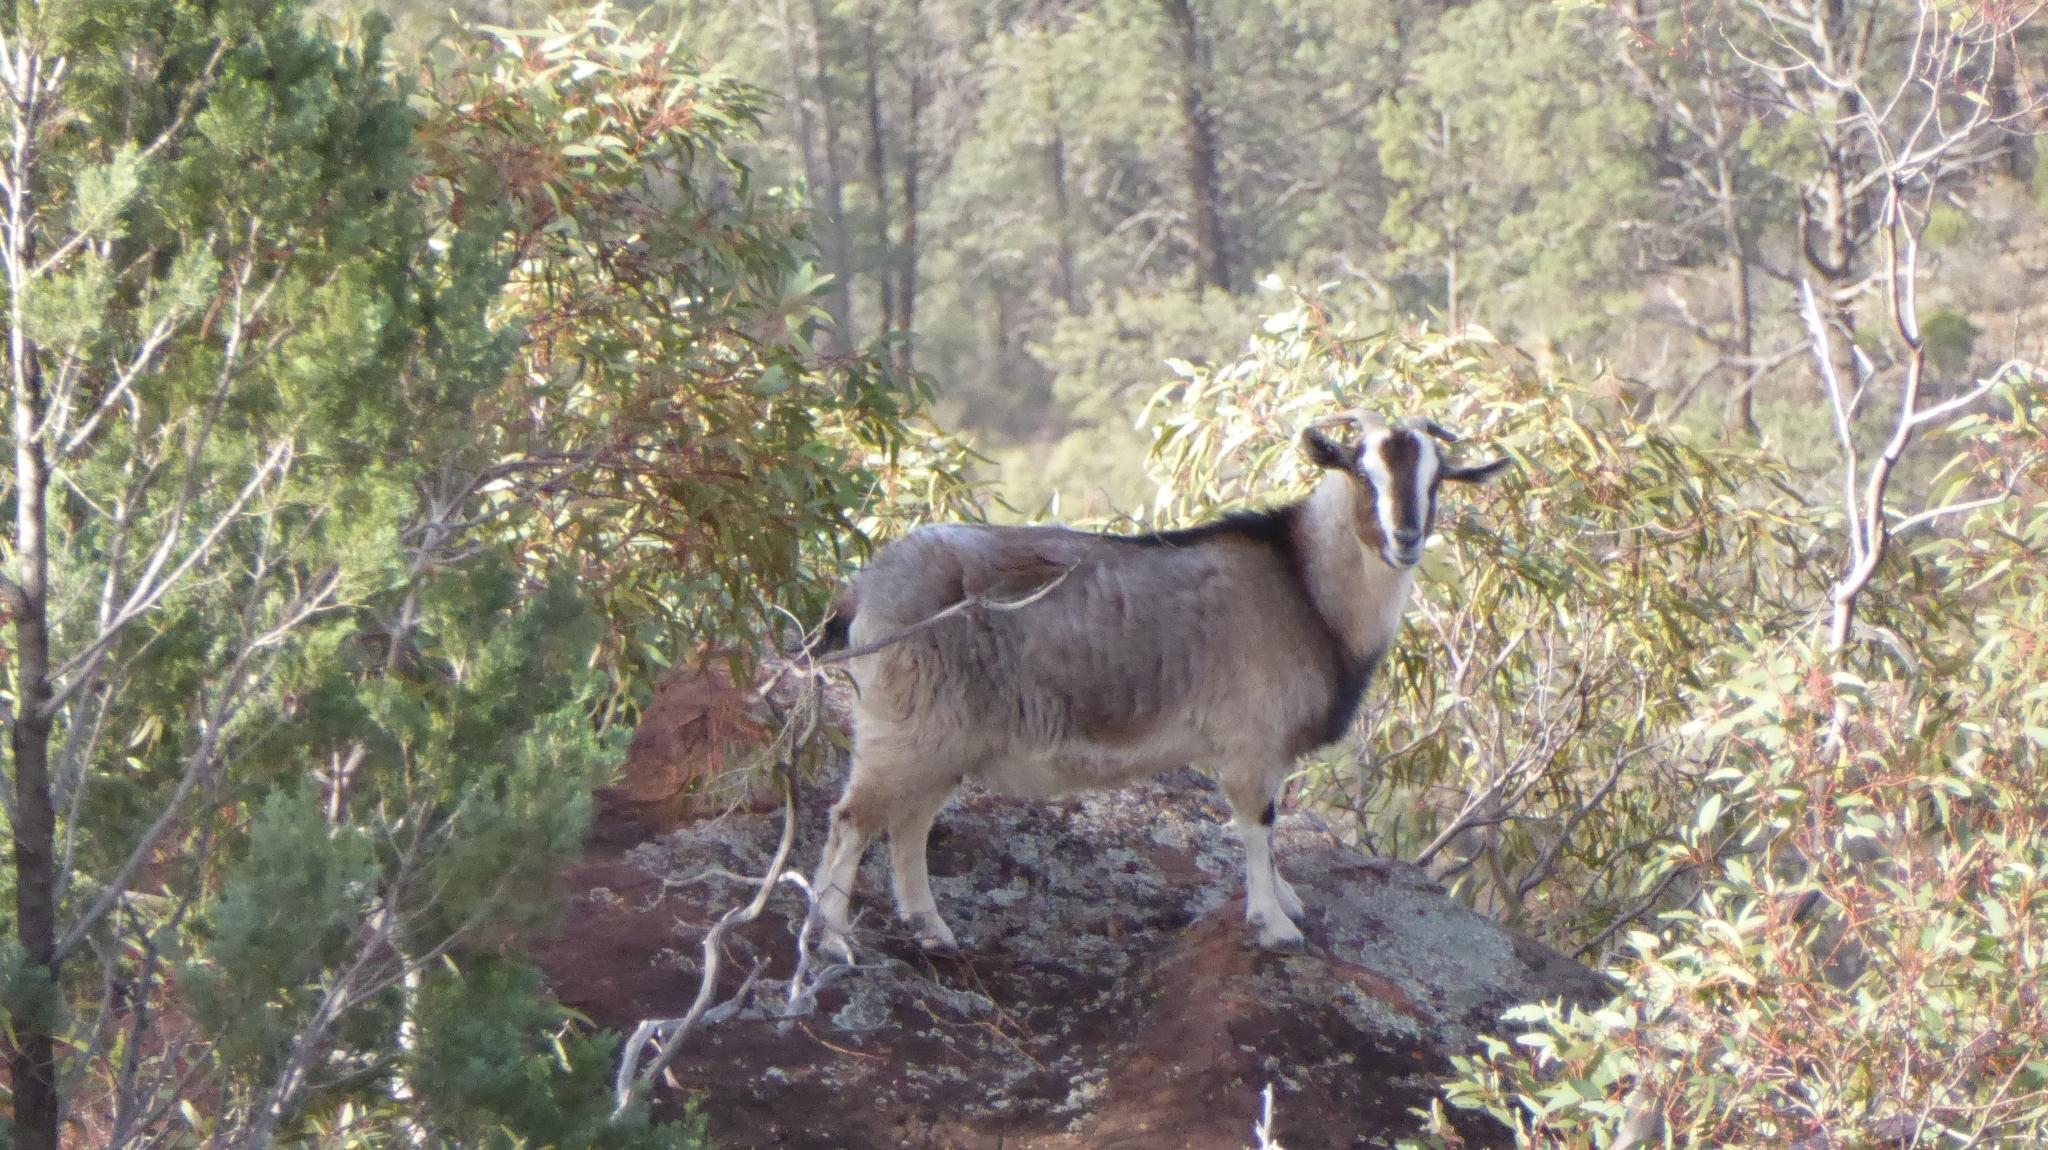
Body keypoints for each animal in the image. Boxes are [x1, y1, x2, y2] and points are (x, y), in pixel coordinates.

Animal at [806, 413, 1508, 955]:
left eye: (1437, 480)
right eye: (1363, 473)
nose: (1406, 539)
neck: (1306, 589)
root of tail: (864, 588)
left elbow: (1268, 824)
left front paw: (1284, 898)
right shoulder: (1250, 740)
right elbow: (1257, 821)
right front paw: (1275, 924)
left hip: (945, 739)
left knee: (908, 823)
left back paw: (931, 930)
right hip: (906, 726)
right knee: (853, 819)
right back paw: (834, 941)